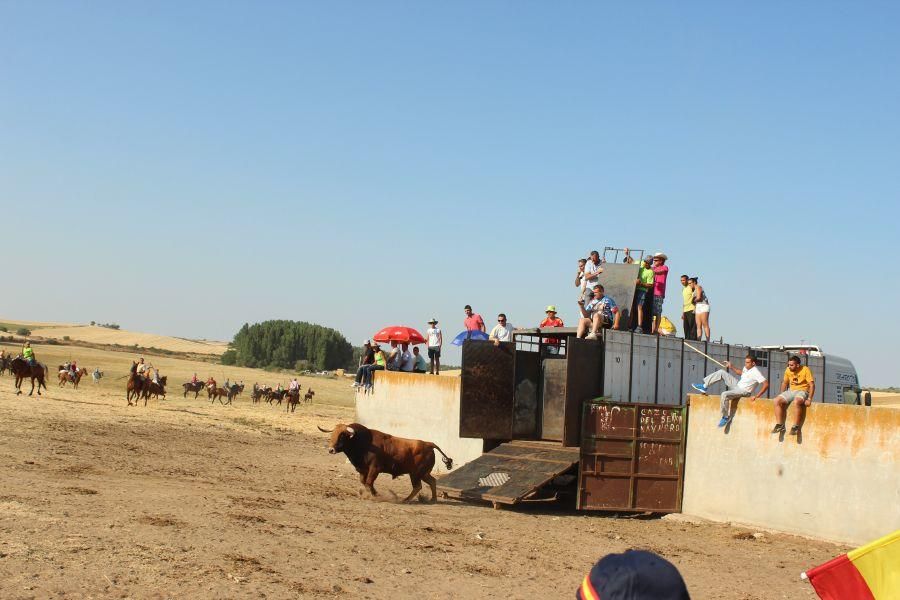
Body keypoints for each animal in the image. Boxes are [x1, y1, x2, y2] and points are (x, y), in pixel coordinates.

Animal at [318, 424, 458, 504]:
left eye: (342, 435)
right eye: (332, 434)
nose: (331, 450)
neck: (364, 442)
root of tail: (428, 444)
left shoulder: (375, 468)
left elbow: (368, 482)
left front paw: (375, 496)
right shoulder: (363, 469)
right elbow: (365, 482)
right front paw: (374, 494)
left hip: (416, 473)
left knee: (418, 486)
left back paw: (406, 500)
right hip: (423, 473)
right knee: (432, 481)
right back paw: (432, 499)